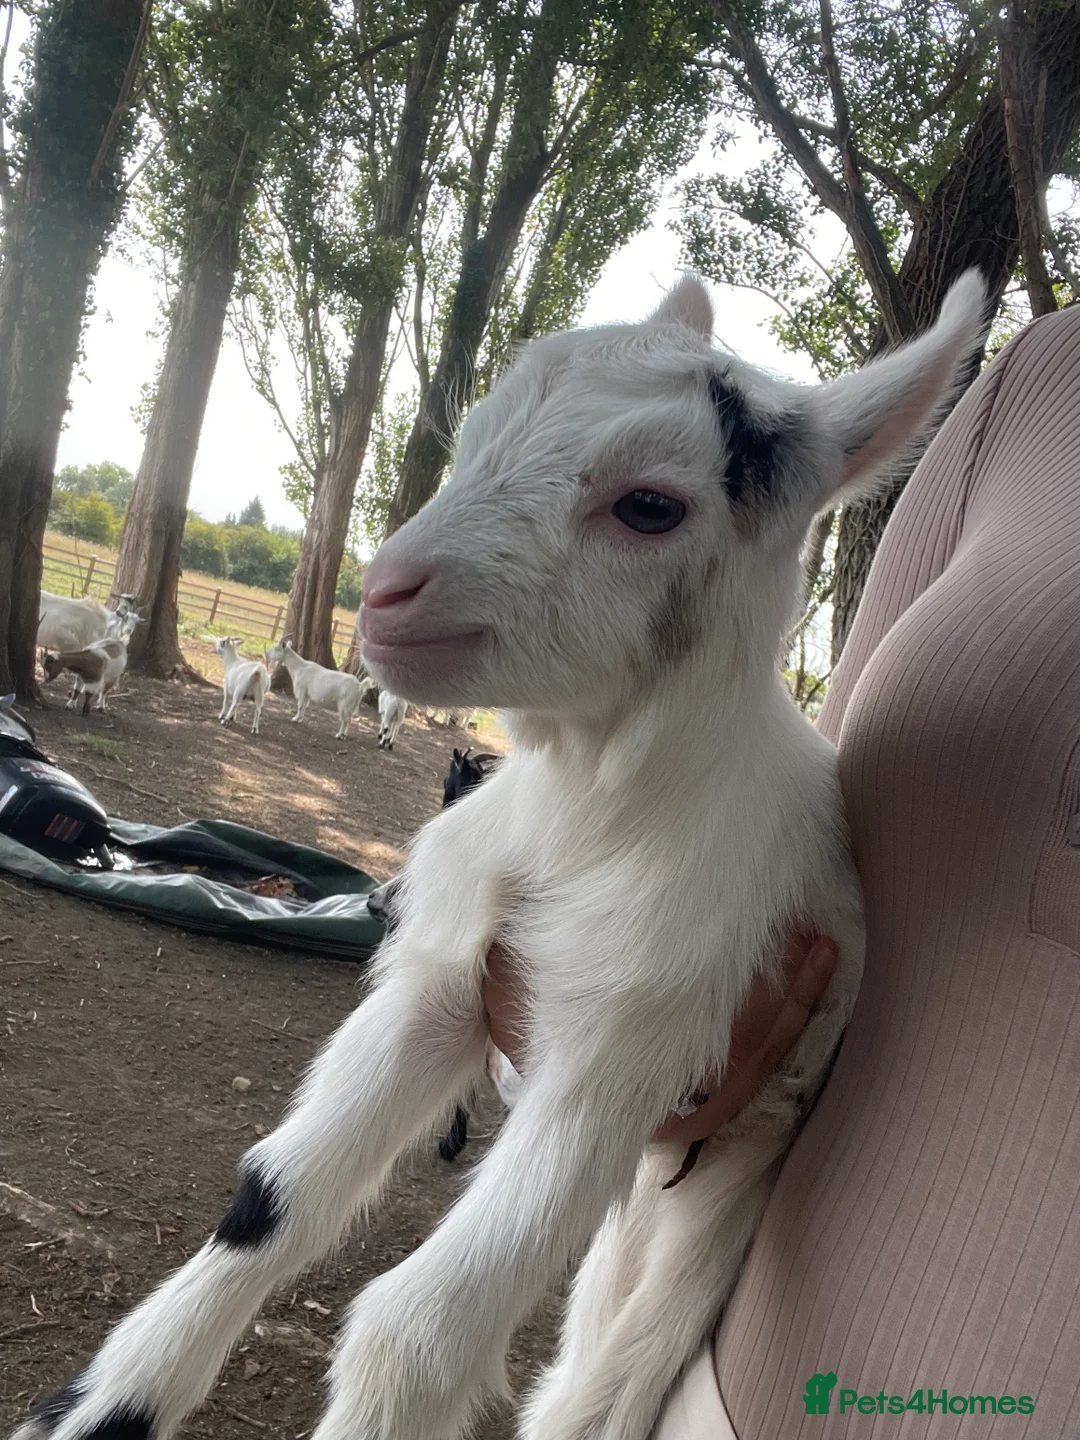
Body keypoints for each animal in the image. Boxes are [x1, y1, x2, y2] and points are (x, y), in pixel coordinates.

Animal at [15, 272, 987, 1440]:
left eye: (651, 505)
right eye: (478, 434)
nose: (386, 593)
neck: (586, 817)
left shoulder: (629, 1041)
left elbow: (413, 1335)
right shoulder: (448, 984)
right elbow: (268, 1200)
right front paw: (88, 1412)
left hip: (746, 1156)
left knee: (620, 1366)